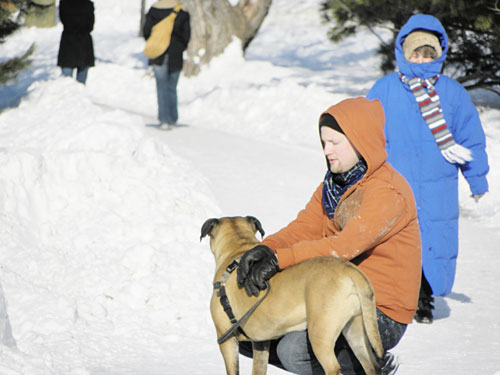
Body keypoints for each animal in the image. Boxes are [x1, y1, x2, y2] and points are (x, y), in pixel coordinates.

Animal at [199, 216, 382, 375]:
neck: (238, 248)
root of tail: (351, 271)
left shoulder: (226, 338)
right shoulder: (260, 342)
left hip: (320, 332)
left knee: (332, 366)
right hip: (356, 329)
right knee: (370, 364)